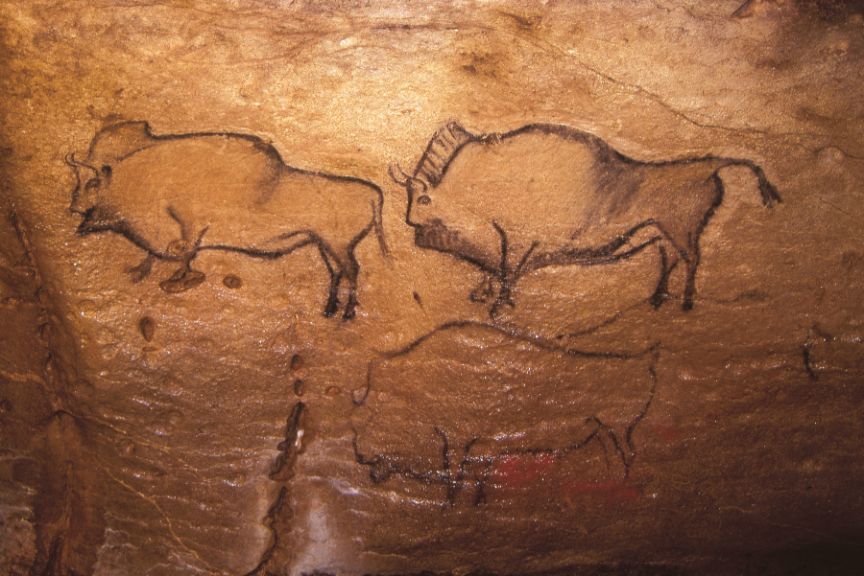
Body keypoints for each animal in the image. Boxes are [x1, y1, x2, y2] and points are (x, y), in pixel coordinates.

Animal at [67, 121, 388, 320]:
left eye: (92, 182)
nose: (73, 207)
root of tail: (374, 194)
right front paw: (141, 271)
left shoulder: (190, 225)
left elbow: (185, 252)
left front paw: (178, 280)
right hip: (324, 245)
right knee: (338, 273)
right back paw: (329, 309)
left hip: (337, 244)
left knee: (352, 271)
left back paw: (347, 314)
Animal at [348, 322, 660, 506]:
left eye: (372, 418)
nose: (361, 456)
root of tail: (644, 360)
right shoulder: (484, 447)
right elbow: (478, 475)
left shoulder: (459, 440)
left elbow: (456, 475)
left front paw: (452, 502)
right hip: (603, 430)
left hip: (619, 428)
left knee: (627, 454)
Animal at [388, 121, 780, 318]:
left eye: (423, 198)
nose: (409, 221)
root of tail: (712, 166)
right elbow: (495, 266)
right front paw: (481, 293)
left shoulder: (519, 240)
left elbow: (509, 268)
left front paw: (500, 306)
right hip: (662, 234)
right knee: (670, 259)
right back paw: (657, 299)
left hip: (683, 231)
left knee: (693, 260)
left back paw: (685, 303)